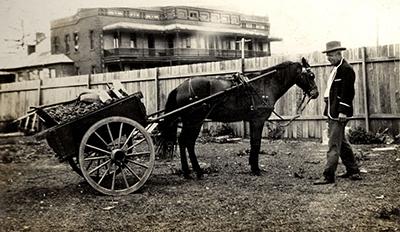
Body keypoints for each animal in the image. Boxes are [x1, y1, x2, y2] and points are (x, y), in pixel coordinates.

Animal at [156, 57, 318, 178]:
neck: (264, 84)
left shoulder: (253, 121)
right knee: (186, 142)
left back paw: (191, 171)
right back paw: (194, 171)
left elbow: (253, 143)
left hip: (193, 122)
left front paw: (252, 166)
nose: (315, 93)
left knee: (185, 142)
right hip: (194, 121)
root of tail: (180, 87)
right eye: (310, 75)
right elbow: (256, 143)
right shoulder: (257, 121)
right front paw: (255, 169)